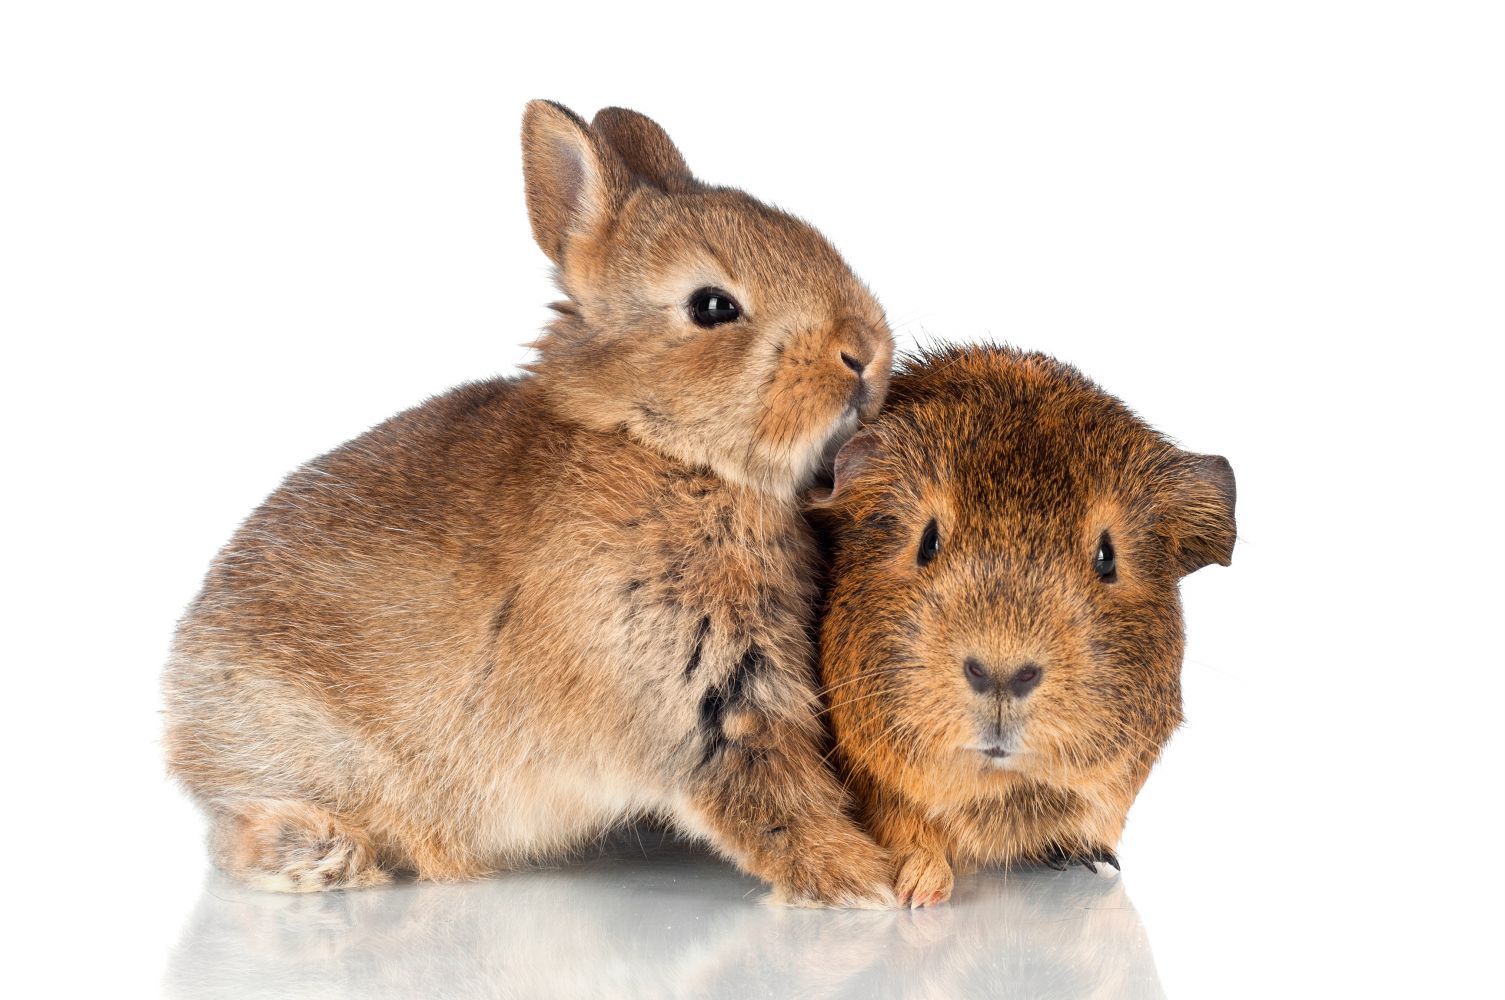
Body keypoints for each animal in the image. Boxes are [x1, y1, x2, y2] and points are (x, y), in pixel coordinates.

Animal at [164, 101, 890, 903]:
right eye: (711, 306)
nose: (864, 351)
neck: (662, 449)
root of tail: (179, 701)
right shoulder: (696, 689)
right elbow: (767, 795)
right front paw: (860, 879)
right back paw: (325, 856)